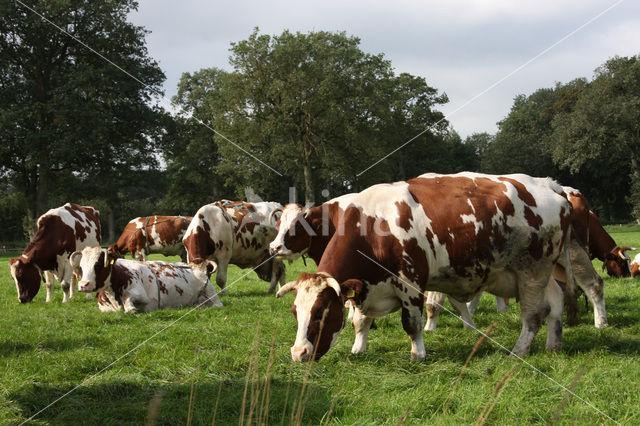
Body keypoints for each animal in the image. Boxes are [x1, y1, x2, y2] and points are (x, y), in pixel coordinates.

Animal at [69, 245, 222, 312]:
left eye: (98, 265)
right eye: (81, 266)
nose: (83, 285)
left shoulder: (147, 298)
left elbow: (128, 298)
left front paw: (131, 307)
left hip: (209, 288)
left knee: (217, 303)